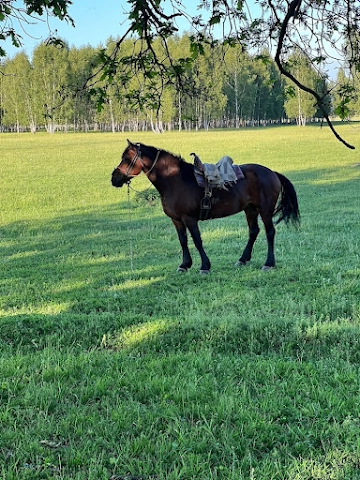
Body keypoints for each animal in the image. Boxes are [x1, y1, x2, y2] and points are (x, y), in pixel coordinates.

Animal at [111, 140, 300, 274]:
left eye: (126, 158)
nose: (114, 178)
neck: (175, 179)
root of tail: (272, 173)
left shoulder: (189, 218)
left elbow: (197, 240)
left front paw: (204, 266)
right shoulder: (176, 220)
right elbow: (183, 241)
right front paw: (185, 265)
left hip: (265, 210)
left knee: (270, 232)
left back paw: (269, 263)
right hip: (250, 209)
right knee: (253, 231)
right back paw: (243, 259)